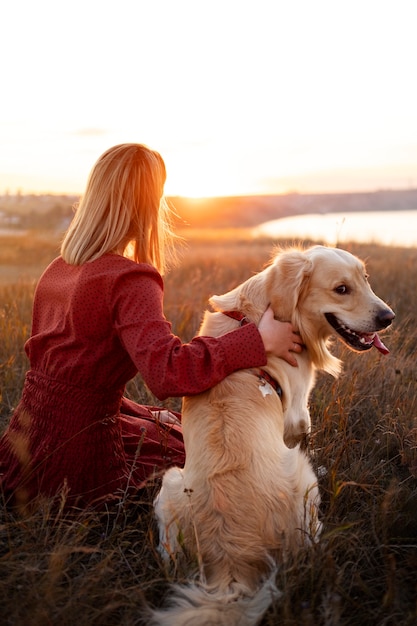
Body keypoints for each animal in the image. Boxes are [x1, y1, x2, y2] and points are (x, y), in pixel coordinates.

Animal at [150, 245, 394, 624]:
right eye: (341, 289)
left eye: (365, 279)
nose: (389, 317)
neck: (263, 317)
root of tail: (232, 561)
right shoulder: (298, 416)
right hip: (299, 479)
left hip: (169, 487)